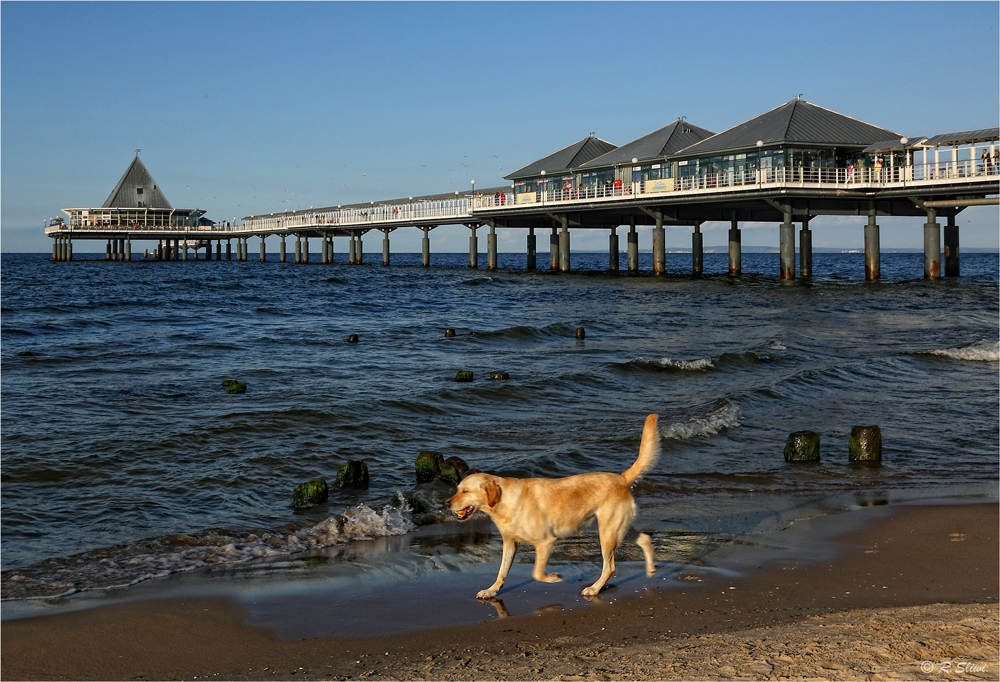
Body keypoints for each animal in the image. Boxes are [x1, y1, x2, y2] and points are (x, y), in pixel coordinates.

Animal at [450, 410, 660, 596]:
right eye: (457, 488)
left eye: (465, 491)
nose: (446, 503)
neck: (505, 503)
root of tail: (622, 478)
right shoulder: (510, 543)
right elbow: (502, 571)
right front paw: (491, 591)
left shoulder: (546, 542)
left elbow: (536, 573)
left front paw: (554, 578)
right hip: (618, 528)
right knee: (644, 538)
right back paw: (650, 569)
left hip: (607, 534)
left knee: (610, 567)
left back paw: (594, 589)